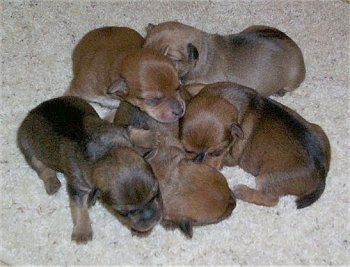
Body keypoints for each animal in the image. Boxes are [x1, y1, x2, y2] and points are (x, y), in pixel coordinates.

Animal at [17, 97, 163, 245]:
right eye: (122, 212)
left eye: (156, 193)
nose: (152, 218)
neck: (105, 152)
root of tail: (33, 111)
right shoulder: (78, 188)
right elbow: (79, 209)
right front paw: (82, 231)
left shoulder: (118, 130)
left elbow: (130, 130)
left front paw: (150, 137)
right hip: (27, 147)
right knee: (42, 168)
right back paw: (52, 183)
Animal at [180, 82, 330, 209]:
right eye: (188, 150)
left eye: (217, 152)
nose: (199, 163)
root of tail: (321, 174)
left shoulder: (232, 157)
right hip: (319, 130)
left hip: (266, 178)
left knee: (271, 200)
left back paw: (242, 192)